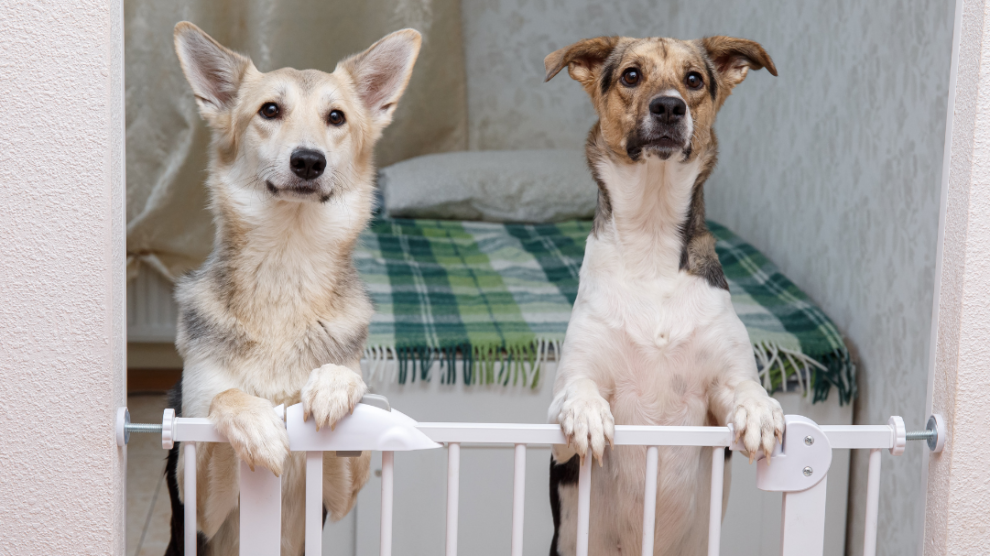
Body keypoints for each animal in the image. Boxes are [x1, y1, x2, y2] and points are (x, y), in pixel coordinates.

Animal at [165, 22, 420, 556]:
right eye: (269, 110)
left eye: (336, 117)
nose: (308, 161)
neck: (287, 263)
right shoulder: (197, 500)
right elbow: (226, 397)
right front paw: (257, 423)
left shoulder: (337, 495)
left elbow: (349, 397)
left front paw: (333, 387)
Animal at [548, 35, 788, 556]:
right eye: (631, 75)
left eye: (693, 79)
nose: (668, 107)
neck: (653, 238)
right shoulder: (560, 430)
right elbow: (578, 391)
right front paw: (587, 414)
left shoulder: (720, 392)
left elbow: (747, 388)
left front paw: (761, 411)